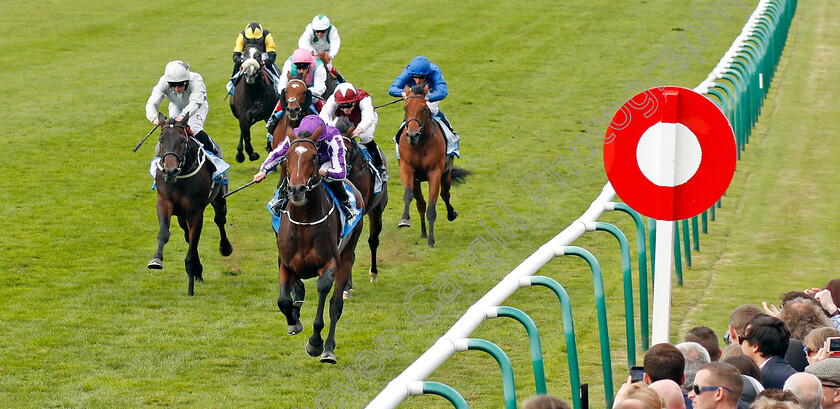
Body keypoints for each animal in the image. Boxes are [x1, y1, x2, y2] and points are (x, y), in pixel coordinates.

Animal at [148, 113, 233, 294]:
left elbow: (194, 243)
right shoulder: (164, 203)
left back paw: (225, 248)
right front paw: (156, 260)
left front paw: (191, 284)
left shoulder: (195, 211)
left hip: (219, 198)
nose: (170, 170)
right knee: (188, 235)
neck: (180, 178)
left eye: (182, 140)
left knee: (220, 220)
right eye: (161, 139)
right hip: (181, 216)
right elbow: (164, 233)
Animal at [274, 126, 362, 362]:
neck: (304, 221)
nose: (296, 189)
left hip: (347, 257)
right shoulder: (285, 262)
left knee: (336, 306)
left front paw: (315, 342)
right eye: (287, 157)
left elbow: (323, 291)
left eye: (314, 157)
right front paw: (294, 322)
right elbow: (284, 300)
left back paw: (328, 348)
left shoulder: (330, 262)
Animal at [398, 84, 470, 247]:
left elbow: (432, 207)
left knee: (445, 194)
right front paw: (405, 219)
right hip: (417, 181)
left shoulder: (434, 172)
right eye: (405, 107)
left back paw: (451, 214)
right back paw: (423, 233)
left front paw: (431, 240)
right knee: (420, 204)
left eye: (424, 108)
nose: (412, 135)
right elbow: (408, 195)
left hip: (446, 174)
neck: (420, 144)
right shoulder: (407, 169)